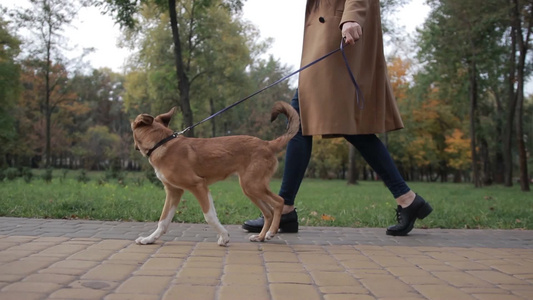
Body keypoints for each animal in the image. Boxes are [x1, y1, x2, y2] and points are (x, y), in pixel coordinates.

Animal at [130, 101, 300, 246]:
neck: (161, 143)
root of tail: (268, 144)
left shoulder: (198, 186)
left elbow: (209, 217)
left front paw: (224, 236)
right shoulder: (174, 191)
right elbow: (163, 220)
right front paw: (149, 239)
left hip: (253, 186)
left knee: (279, 202)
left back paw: (271, 232)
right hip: (249, 189)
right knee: (268, 212)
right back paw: (261, 237)